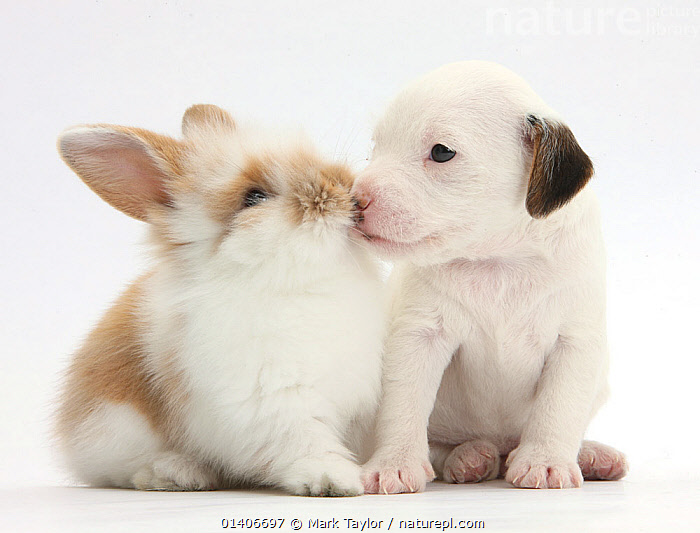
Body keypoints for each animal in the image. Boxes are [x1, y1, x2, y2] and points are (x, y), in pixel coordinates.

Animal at [54, 104, 382, 494]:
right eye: (254, 197)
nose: (347, 192)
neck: (295, 282)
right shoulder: (273, 398)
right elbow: (306, 442)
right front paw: (336, 479)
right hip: (114, 427)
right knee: (121, 471)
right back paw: (176, 473)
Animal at [356, 61, 628, 490]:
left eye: (441, 152)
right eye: (376, 146)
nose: (354, 200)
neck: (498, 258)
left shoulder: (575, 342)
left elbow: (559, 407)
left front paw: (546, 460)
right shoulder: (417, 336)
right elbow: (403, 405)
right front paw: (393, 463)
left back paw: (591, 455)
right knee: (440, 446)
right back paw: (467, 457)